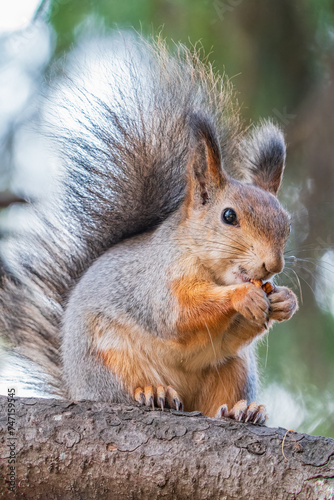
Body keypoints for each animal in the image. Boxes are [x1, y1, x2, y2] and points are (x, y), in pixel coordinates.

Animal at [0, 34, 298, 422]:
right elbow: (180, 314)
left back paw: (240, 411)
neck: (216, 271)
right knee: (127, 384)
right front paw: (242, 296)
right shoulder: (158, 285)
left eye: (286, 224)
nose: (272, 264)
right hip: (111, 359)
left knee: (218, 399)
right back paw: (153, 392)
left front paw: (285, 300)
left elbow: (235, 334)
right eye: (229, 216)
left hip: (234, 369)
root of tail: (75, 387)